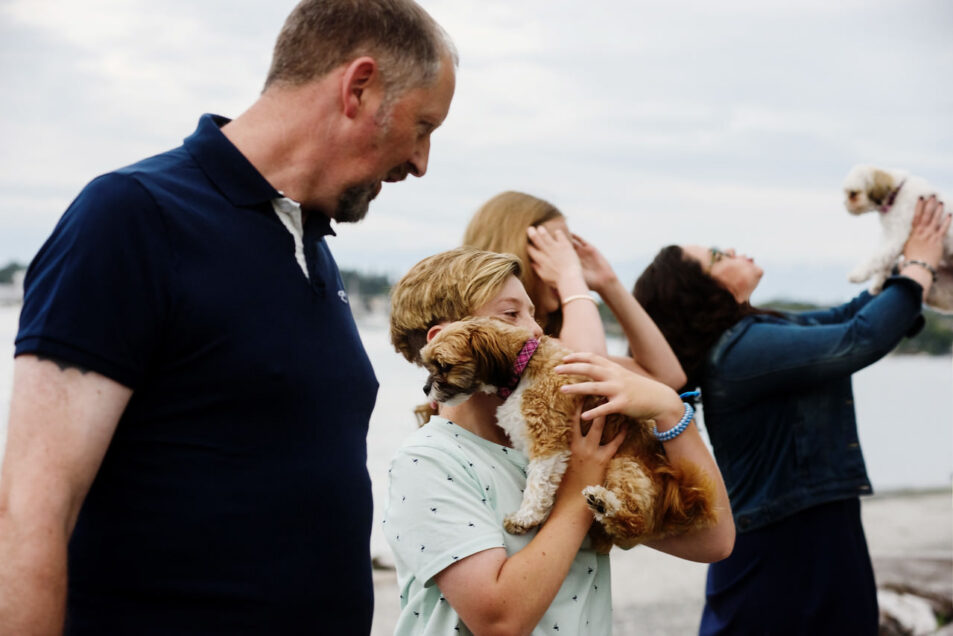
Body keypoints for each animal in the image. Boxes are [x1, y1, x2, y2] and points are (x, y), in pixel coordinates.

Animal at [844, 165, 948, 312]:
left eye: (853, 194)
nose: (845, 204)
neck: (896, 194)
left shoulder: (896, 236)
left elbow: (876, 258)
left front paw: (858, 274)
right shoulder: (889, 236)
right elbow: (883, 259)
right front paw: (878, 283)